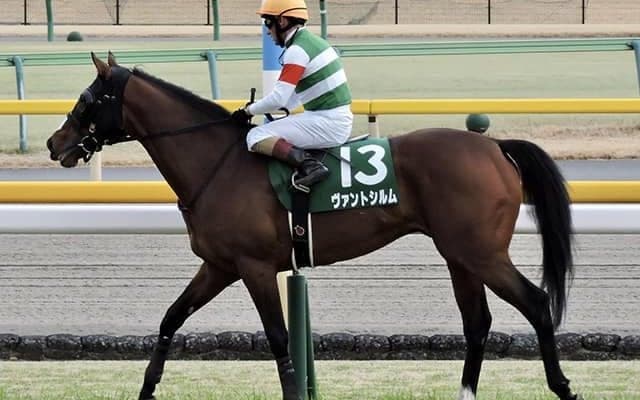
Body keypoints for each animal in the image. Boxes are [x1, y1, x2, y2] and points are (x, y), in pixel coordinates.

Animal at [47, 52, 579, 400]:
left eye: (87, 98)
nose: (55, 143)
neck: (217, 163)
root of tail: (494, 147)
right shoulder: (219, 267)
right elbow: (170, 319)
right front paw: (146, 388)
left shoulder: (255, 267)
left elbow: (280, 340)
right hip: (459, 255)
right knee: (477, 322)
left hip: (481, 253)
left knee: (535, 302)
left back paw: (561, 386)